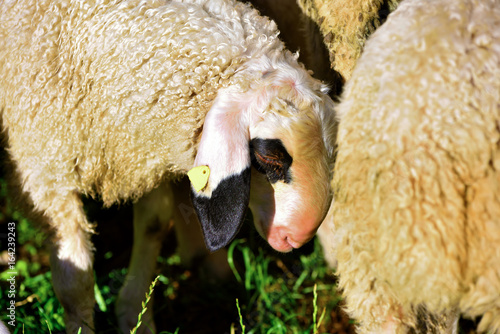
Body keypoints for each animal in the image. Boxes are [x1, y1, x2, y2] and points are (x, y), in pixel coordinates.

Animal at [0, 0, 336, 332]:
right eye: (268, 157)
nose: (298, 237)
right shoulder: (45, 171)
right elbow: (75, 281)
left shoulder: (140, 148)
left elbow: (154, 224)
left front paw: (134, 315)